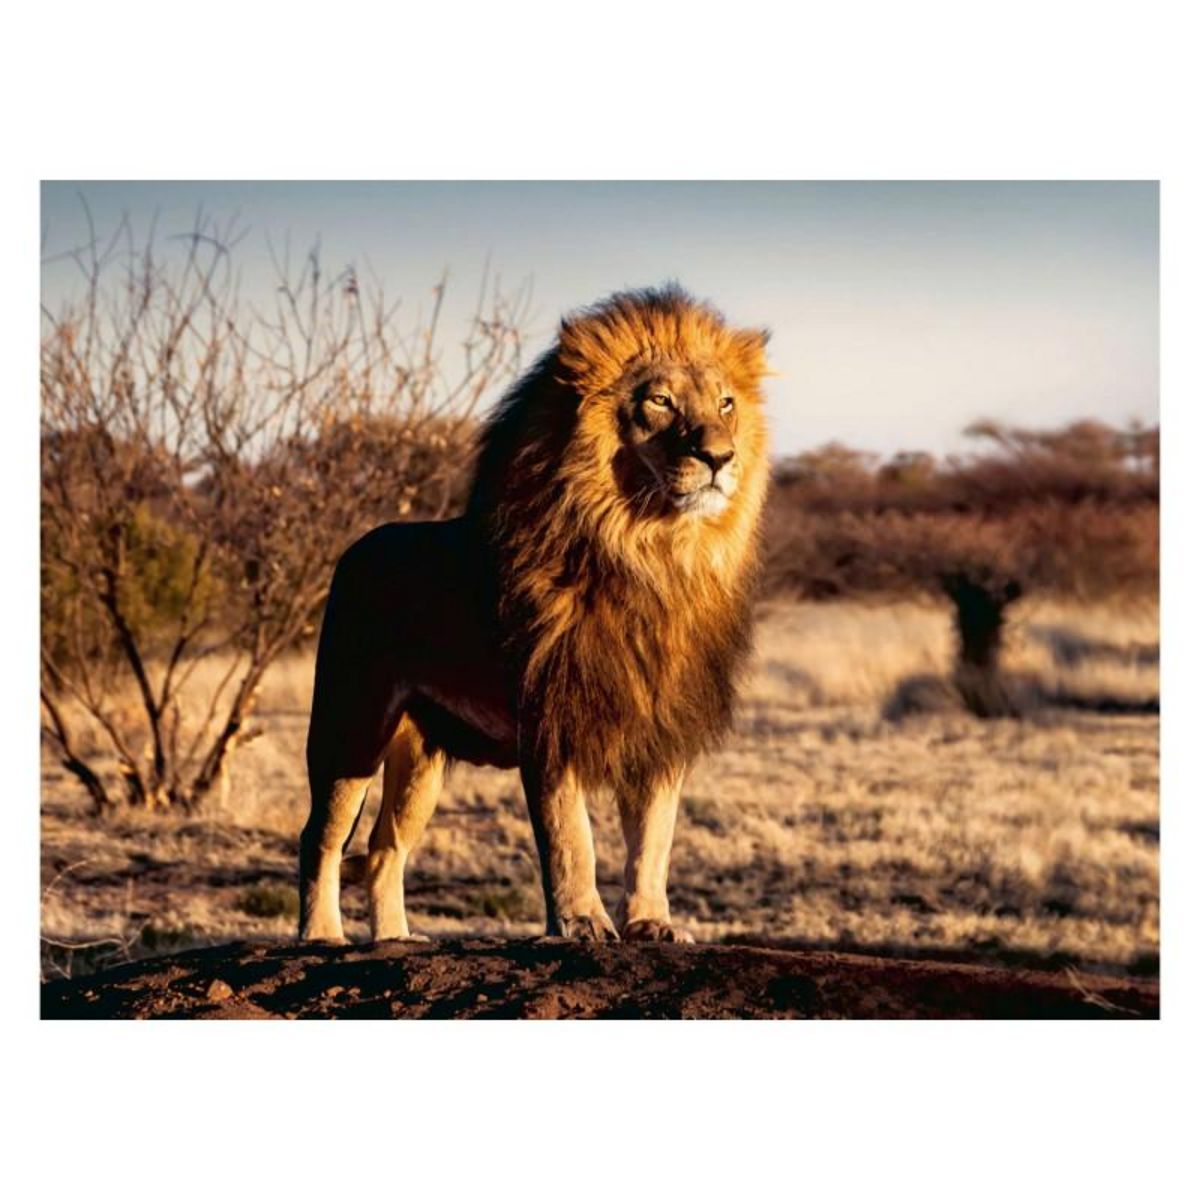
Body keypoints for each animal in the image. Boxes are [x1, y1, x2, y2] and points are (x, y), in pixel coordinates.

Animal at [298, 286, 771, 943]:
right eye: (660, 401)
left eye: (726, 403)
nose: (720, 457)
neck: (651, 555)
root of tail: (356, 547)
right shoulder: (551, 718)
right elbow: (572, 837)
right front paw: (581, 923)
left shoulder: (660, 725)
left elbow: (653, 839)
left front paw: (651, 922)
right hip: (351, 726)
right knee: (320, 837)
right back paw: (321, 935)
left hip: (419, 759)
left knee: (385, 848)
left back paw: (394, 938)